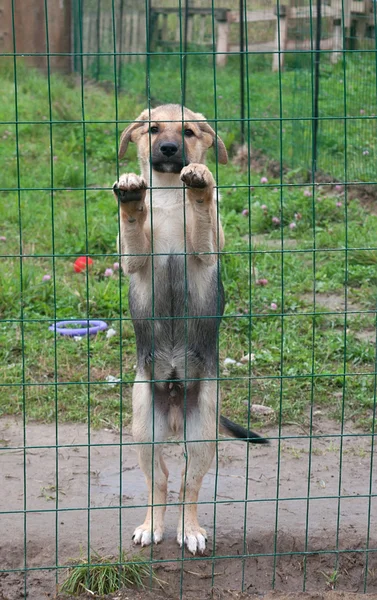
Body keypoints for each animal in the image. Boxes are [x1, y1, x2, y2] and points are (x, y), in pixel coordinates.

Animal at [112, 104, 268, 556]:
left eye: (189, 133)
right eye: (152, 129)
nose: (168, 150)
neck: (166, 196)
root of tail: (177, 397)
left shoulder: (205, 248)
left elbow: (203, 210)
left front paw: (201, 180)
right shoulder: (134, 259)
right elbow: (133, 227)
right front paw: (132, 194)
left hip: (202, 434)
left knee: (188, 484)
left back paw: (191, 530)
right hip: (144, 429)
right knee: (159, 482)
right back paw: (151, 526)